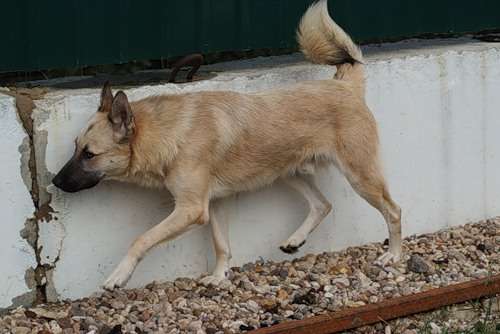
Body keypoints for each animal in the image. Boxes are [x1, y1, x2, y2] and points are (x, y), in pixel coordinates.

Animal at [52, 0, 400, 290]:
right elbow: (221, 245)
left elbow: (142, 238)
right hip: (287, 172)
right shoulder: (214, 204)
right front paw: (219, 277)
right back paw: (295, 239)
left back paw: (394, 255)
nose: (54, 182)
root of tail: (344, 85)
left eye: (89, 154)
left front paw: (119, 275)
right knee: (322, 204)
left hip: (360, 177)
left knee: (393, 211)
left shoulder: (191, 209)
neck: (170, 132)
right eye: (75, 147)